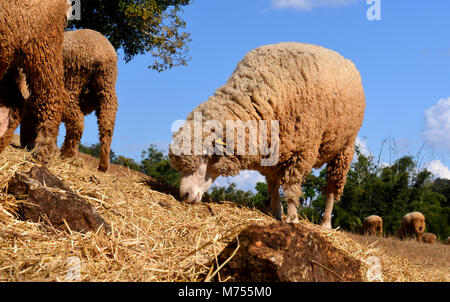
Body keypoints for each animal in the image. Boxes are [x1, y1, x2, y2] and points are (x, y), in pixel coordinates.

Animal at [16, 30, 118, 172]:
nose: (24, 144)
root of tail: (100, 54)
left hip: (72, 82)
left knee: (76, 121)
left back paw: (67, 155)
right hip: (107, 85)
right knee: (107, 123)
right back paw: (102, 165)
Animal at [169, 41, 366, 228]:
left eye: (205, 156)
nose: (184, 195)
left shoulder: (302, 151)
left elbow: (292, 186)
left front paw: (292, 219)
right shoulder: (271, 149)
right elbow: (272, 185)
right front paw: (277, 213)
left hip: (344, 148)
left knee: (332, 188)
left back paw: (325, 223)